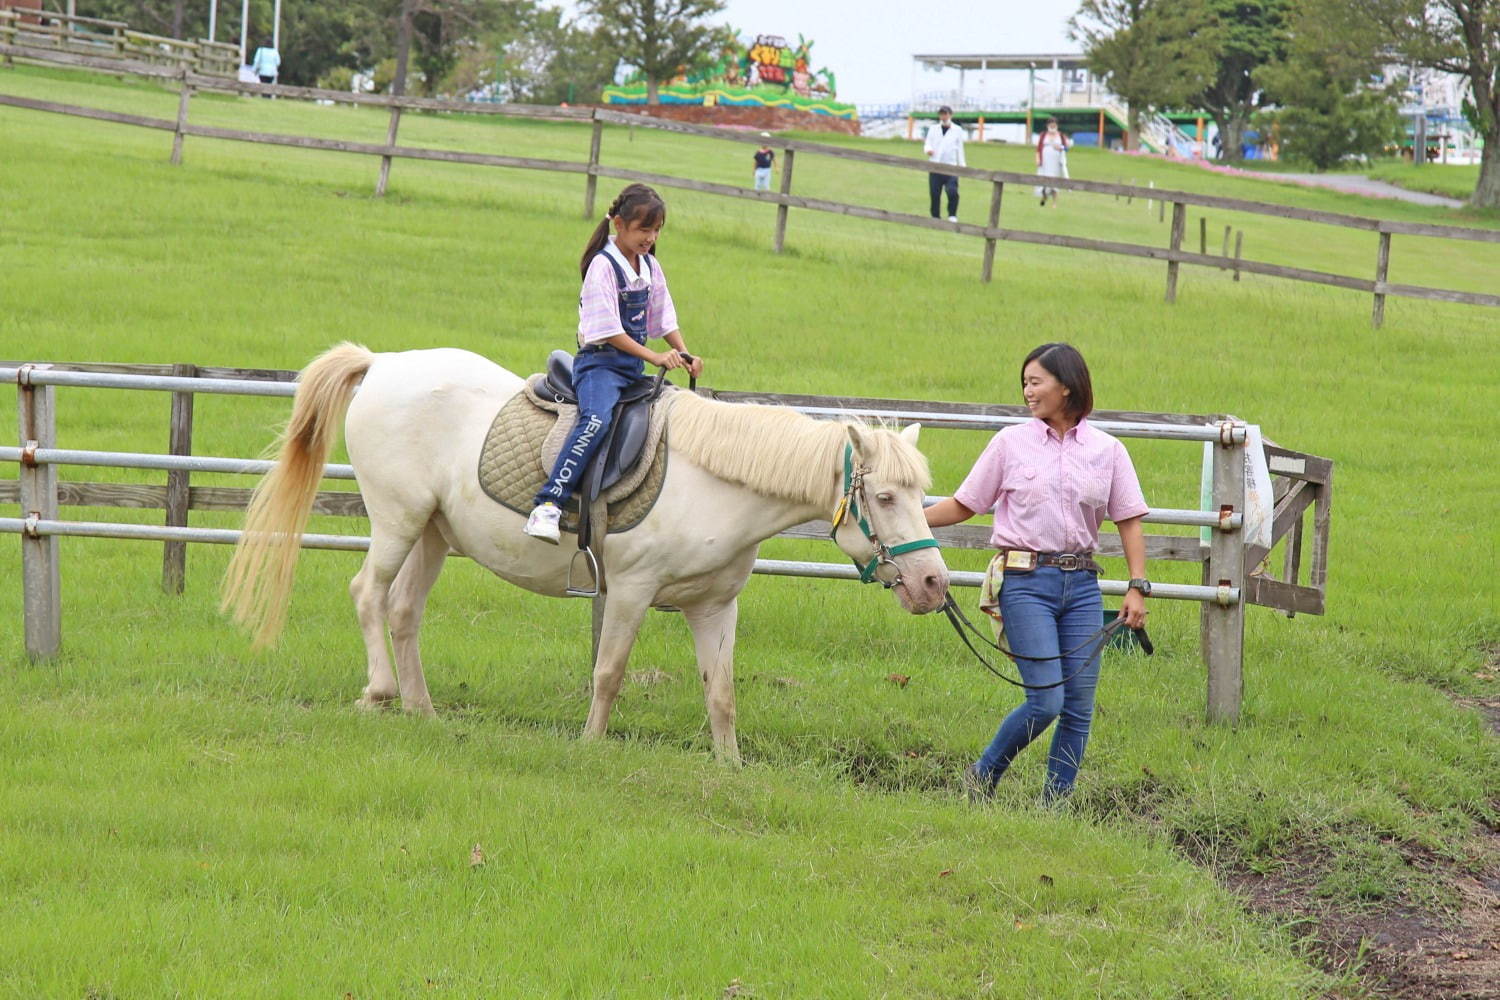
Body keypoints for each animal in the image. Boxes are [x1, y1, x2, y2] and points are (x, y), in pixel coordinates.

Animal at [222, 344, 948, 758]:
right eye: (886, 497)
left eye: (923, 493)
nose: (935, 585)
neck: (715, 482)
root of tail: (384, 363)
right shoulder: (629, 591)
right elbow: (610, 672)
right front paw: (592, 745)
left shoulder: (716, 607)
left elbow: (721, 693)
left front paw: (730, 768)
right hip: (397, 521)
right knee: (368, 595)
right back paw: (378, 693)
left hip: (432, 532)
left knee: (403, 612)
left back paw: (421, 710)